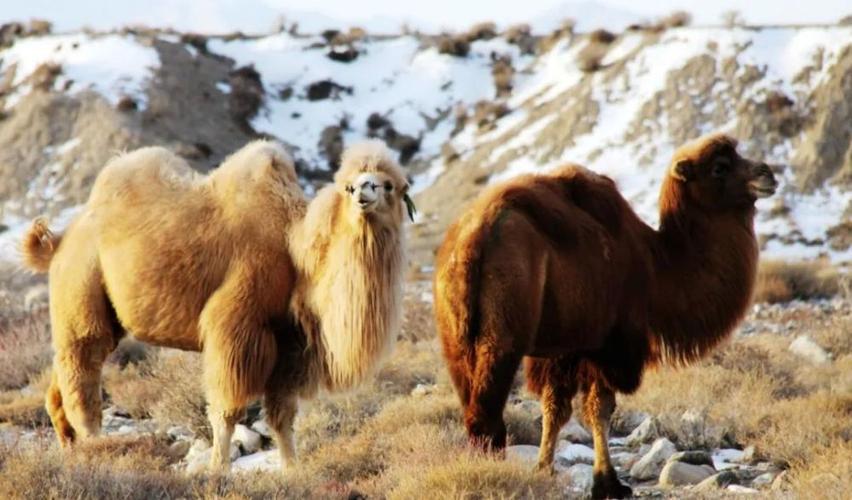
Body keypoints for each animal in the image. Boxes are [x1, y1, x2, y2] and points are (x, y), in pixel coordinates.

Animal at [22, 141, 412, 472]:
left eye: (390, 185)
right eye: (348, 187)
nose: (364, 192)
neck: (295, 253)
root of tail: (59, 241)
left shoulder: (290, 346)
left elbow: (282, 416)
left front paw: (292, 469)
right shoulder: (236, 327)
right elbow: (227, 410)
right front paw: (217, 469)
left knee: (61, 383)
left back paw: (71, 451)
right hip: (80, 284)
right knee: (84, 370)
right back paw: (95, 448)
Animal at [436, 134, 776, 500]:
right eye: (720, 167)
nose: (767, 175)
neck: (657, 263)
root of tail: (472, 240)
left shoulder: (563, 347)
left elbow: (555, 408)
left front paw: (544, 469)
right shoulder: (609, 345)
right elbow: (599, 409)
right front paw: (608, 483)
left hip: (456, 341)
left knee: (471, 404)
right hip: (502, 340)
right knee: (486, 413)